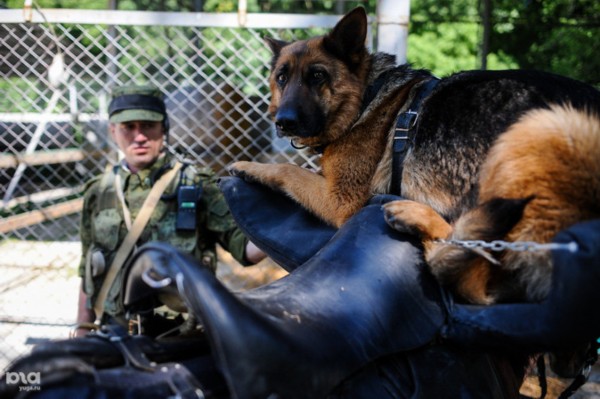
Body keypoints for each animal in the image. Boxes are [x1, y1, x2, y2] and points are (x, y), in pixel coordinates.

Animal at [226, 5, 600, 306]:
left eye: (317, 76)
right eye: (282, 77)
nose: (283, 122)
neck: (367, 96)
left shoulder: (340, 201)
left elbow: (289, 171)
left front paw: (248, 165)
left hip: (547, 128)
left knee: (474, 274)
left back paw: (412, 214)